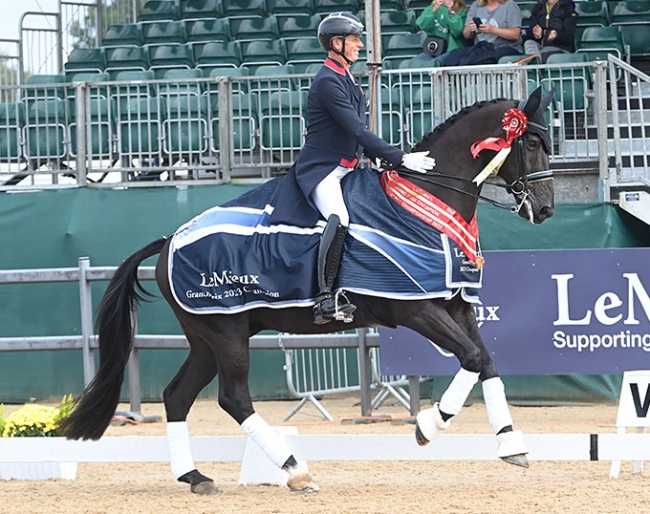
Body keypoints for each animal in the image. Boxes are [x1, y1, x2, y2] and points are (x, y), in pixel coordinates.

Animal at [62, 88, 552, 492]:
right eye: (530, 144)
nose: (546, 209)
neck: (423, 202)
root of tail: (168, 241)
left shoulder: (456, 304)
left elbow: (486, 362)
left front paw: (511, 444)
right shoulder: (413, 309)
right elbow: (470, 359)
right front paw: (429, 426)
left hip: (205, 338)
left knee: (177, 396)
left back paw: (195, 477)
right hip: (226, 332)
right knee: (232, 397)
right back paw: (295, 470)